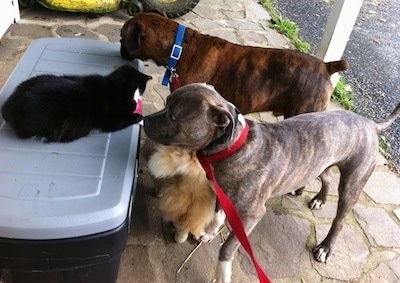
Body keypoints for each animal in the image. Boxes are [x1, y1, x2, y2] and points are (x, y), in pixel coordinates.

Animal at [1, 65, 152, 143]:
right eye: (143, 87)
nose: (141, 96)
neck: (114, 86)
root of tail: (8, 106)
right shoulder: (112, 121)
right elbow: (134, 116)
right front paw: (141, 118)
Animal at [144, 83, 400, 283]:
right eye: (166, 102)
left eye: (173, 116)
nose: (144, 120)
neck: (233, 147)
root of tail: (370, 123)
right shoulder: (221, 192)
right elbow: (217, 215)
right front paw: (209, 233)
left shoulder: (251, 215)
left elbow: (227, 248)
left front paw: (222, 273)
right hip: (320, 165)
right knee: (326, 178)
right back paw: (319, 199)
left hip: (352, 185)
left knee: (340, 219)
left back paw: (326, 248)